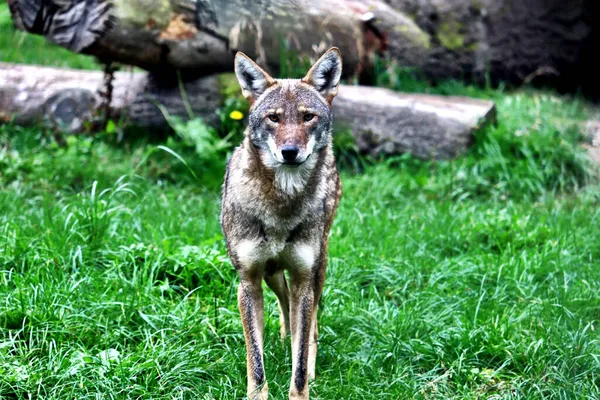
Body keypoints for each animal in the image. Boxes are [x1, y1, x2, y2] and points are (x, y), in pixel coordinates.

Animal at [219, 47, 342, 400]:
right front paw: (257, 394)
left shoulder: (303, 277)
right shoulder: (248, 281)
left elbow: (298, 364)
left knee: (310, 324)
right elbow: (255, 359)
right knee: (285, 302)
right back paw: (285, 336)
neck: (280, 208)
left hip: (318, 268)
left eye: (307, 117)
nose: (290, 152)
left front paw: (302, 384)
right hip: (272, 273)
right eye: (273, 118)